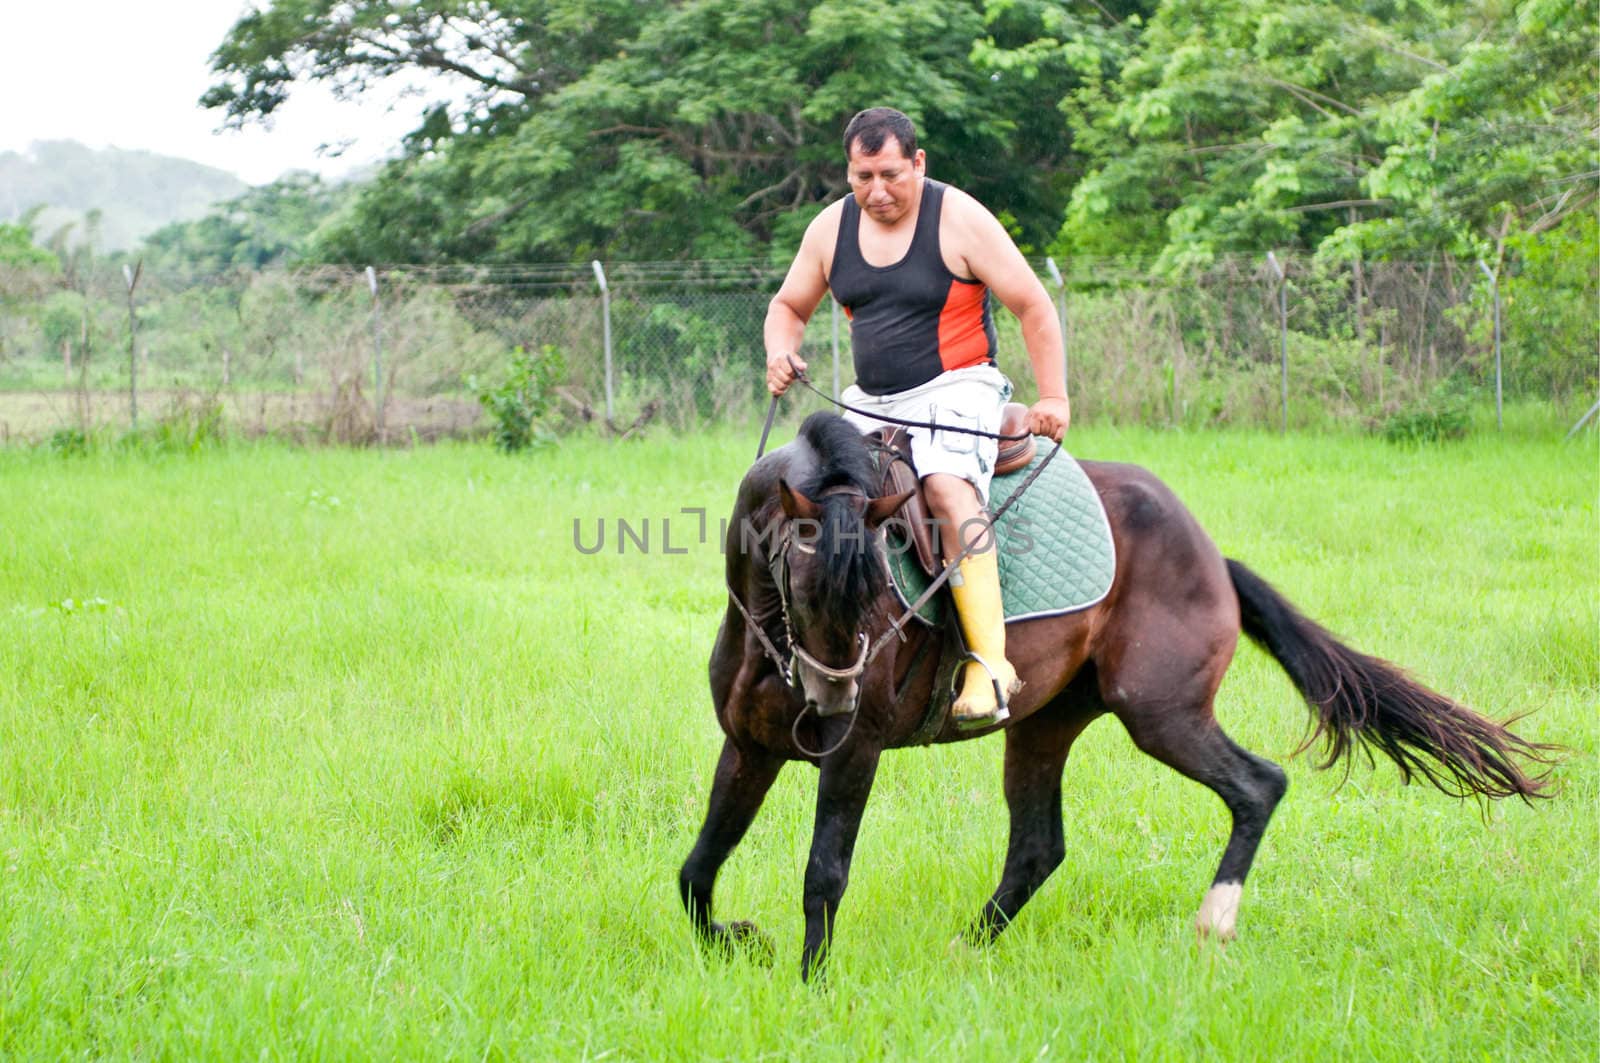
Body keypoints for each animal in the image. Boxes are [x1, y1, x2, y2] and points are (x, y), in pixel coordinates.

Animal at [681, 413, 1555, 979]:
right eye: (803, 589)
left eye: (877, 597)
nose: (828, 712)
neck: (775, 642)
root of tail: (1213, 554)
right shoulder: (749, 747)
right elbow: (698, 867)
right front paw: (739, 941)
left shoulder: (855, 754)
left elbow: (823, 870)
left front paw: (811, 986)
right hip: (1043, 726)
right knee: (1038, 846)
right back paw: (967, 946)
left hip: (1161, 715)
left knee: (1258, 784)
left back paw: (1214, 921)